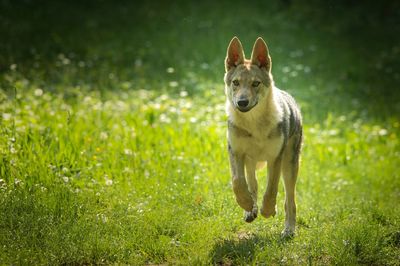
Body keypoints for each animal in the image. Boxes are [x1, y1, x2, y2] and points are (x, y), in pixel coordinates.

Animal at [223, 37, 302, 237]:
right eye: (235, 83)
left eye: (256, 83)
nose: (242, 102)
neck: (254, 124)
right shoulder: (235, 152)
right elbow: (237, 182)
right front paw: (246, 204)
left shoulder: (275, 158)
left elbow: (272, 189)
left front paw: (267, 210)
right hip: (250, 161)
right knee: (253, 184)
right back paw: (250, 210)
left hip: (289, 166)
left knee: (290, 200)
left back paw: (289, 229)